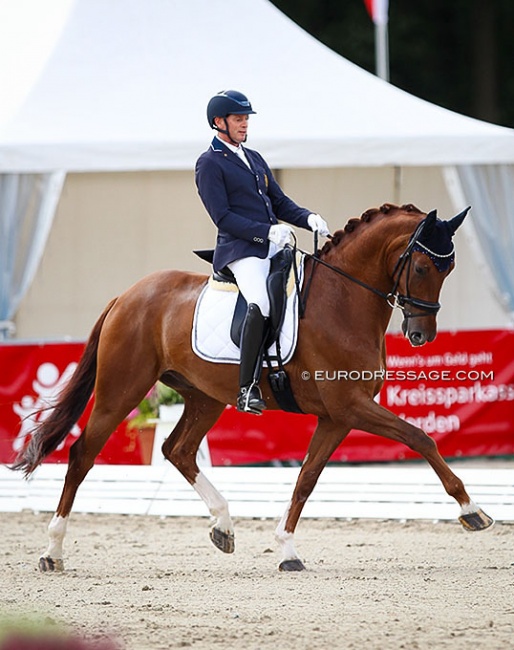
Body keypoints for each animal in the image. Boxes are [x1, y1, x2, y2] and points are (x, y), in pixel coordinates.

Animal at [13, 204, 492, 572]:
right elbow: (420, 437)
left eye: (449, 268)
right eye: (423, 266)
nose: (421, 336)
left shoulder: (336, 416)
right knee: (82, 455)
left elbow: (307, 477)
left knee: (177, 450)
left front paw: (286, 549)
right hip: (122, 390)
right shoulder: (351, 407)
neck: (342, 300)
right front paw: (472, 512)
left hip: (204, 396)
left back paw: (223, 526)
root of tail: (126, 295)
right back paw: (52, 552)